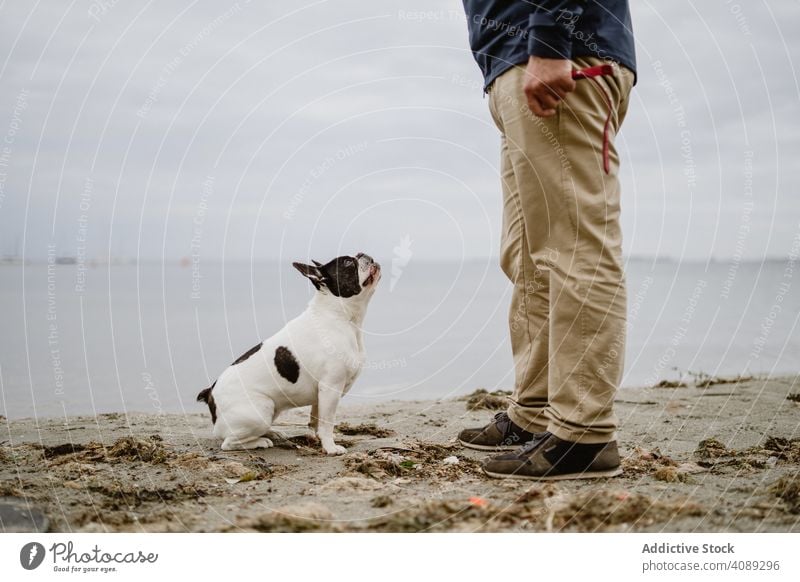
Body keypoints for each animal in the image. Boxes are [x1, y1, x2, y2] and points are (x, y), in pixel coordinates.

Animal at [195, 254, 380, 456]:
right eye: (348, 263)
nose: (365, 255)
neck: (339, 316)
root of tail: (210, 393)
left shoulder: (321, 395)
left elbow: (316, 419)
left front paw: (317, 439)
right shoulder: (331, 388)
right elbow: (327, 422)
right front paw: (330, 447)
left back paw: (273, 433)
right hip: (261, 409)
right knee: (228, 443)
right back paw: (261, 441)